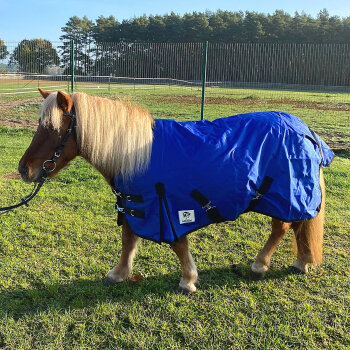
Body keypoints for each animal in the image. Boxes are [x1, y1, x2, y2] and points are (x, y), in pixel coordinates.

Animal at [18, 89, 330, 294]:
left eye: (53, 129)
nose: (24, 169)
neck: (136, 153)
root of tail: (305, 131)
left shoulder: (167, 207)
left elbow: (178, 245)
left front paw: (188, 280)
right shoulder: (134, 204)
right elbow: (128, 239)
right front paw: (118, 274)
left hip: (285, 195)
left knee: (284, 226)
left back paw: (261, 265)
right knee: (295, 226)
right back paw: (301, 262)